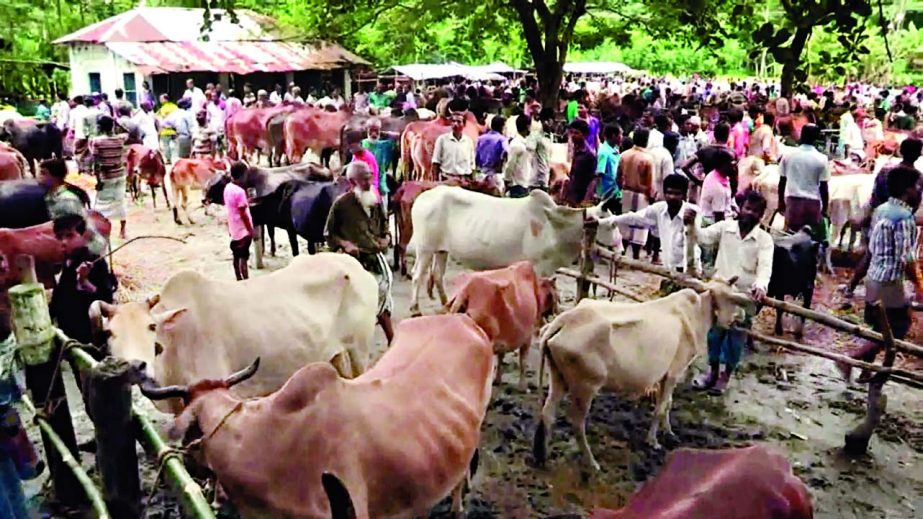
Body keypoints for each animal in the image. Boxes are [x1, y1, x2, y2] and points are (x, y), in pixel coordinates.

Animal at [93, 253, 378, 414]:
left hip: (359, 350)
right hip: (334, 355)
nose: (135, 366)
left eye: (151, 327)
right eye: (108, 333)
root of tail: (356, 267)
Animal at [410, 188, 592, 316]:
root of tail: (421, 198)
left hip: (441, 251)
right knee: (417, 275)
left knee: (437, 275)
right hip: (425, 249)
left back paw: (446, 304)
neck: (554, 227)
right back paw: (415, 309)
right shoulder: (538, 267)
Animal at [536, 280, 744, 472]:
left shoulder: (665, 376)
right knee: (577, 423)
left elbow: (667, 404)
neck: (696, 314)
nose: (735, 320)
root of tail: (564, 320)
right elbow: (660, 408)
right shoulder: (674, 373)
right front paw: (652, 441)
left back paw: (543, 457)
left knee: (547, 413)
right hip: (586, 386)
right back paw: (591, 462)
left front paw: (669, 432)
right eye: (731, 299)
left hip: (558, 377)